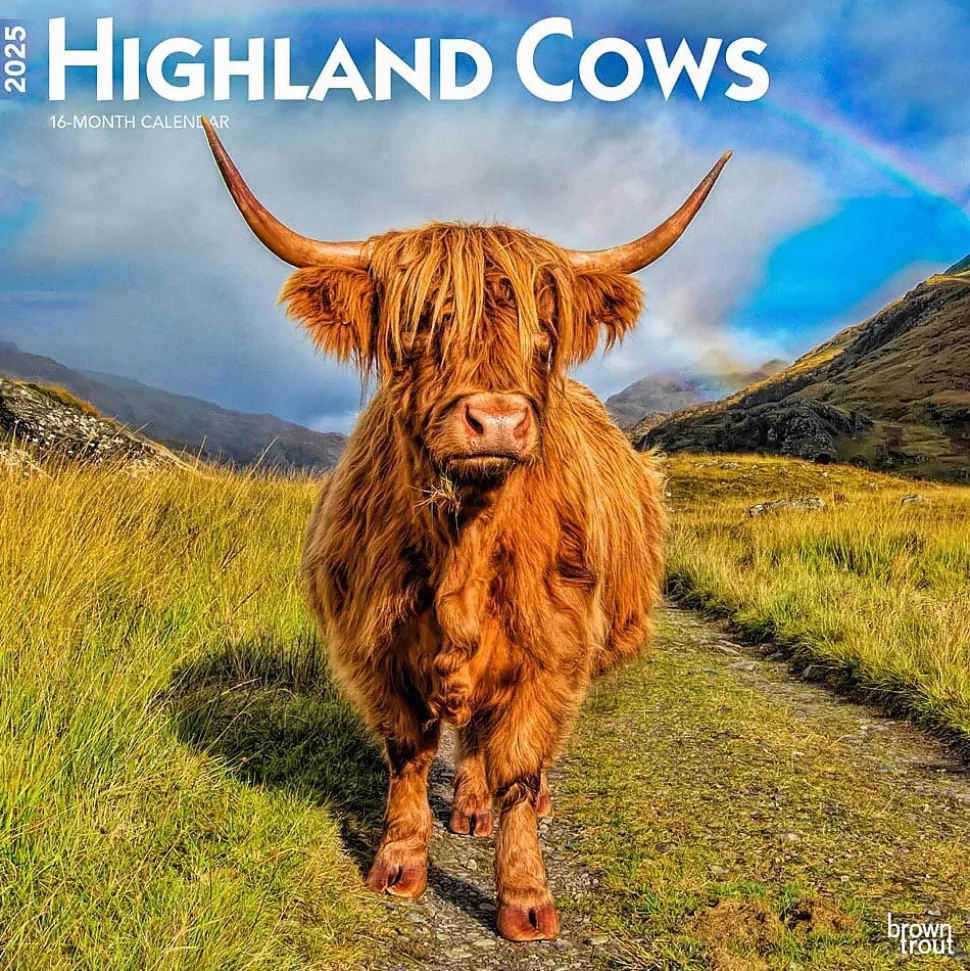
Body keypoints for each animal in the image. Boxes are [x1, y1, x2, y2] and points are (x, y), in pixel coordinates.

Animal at [201, 118, 728, 943]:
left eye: (544, 337)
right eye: (421, 326)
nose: (499, 419)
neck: (467, 548)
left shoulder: (551, 652)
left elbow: (517, 763)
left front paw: (525, 898)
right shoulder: (376, 647)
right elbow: (410, 752)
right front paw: (399, 862)